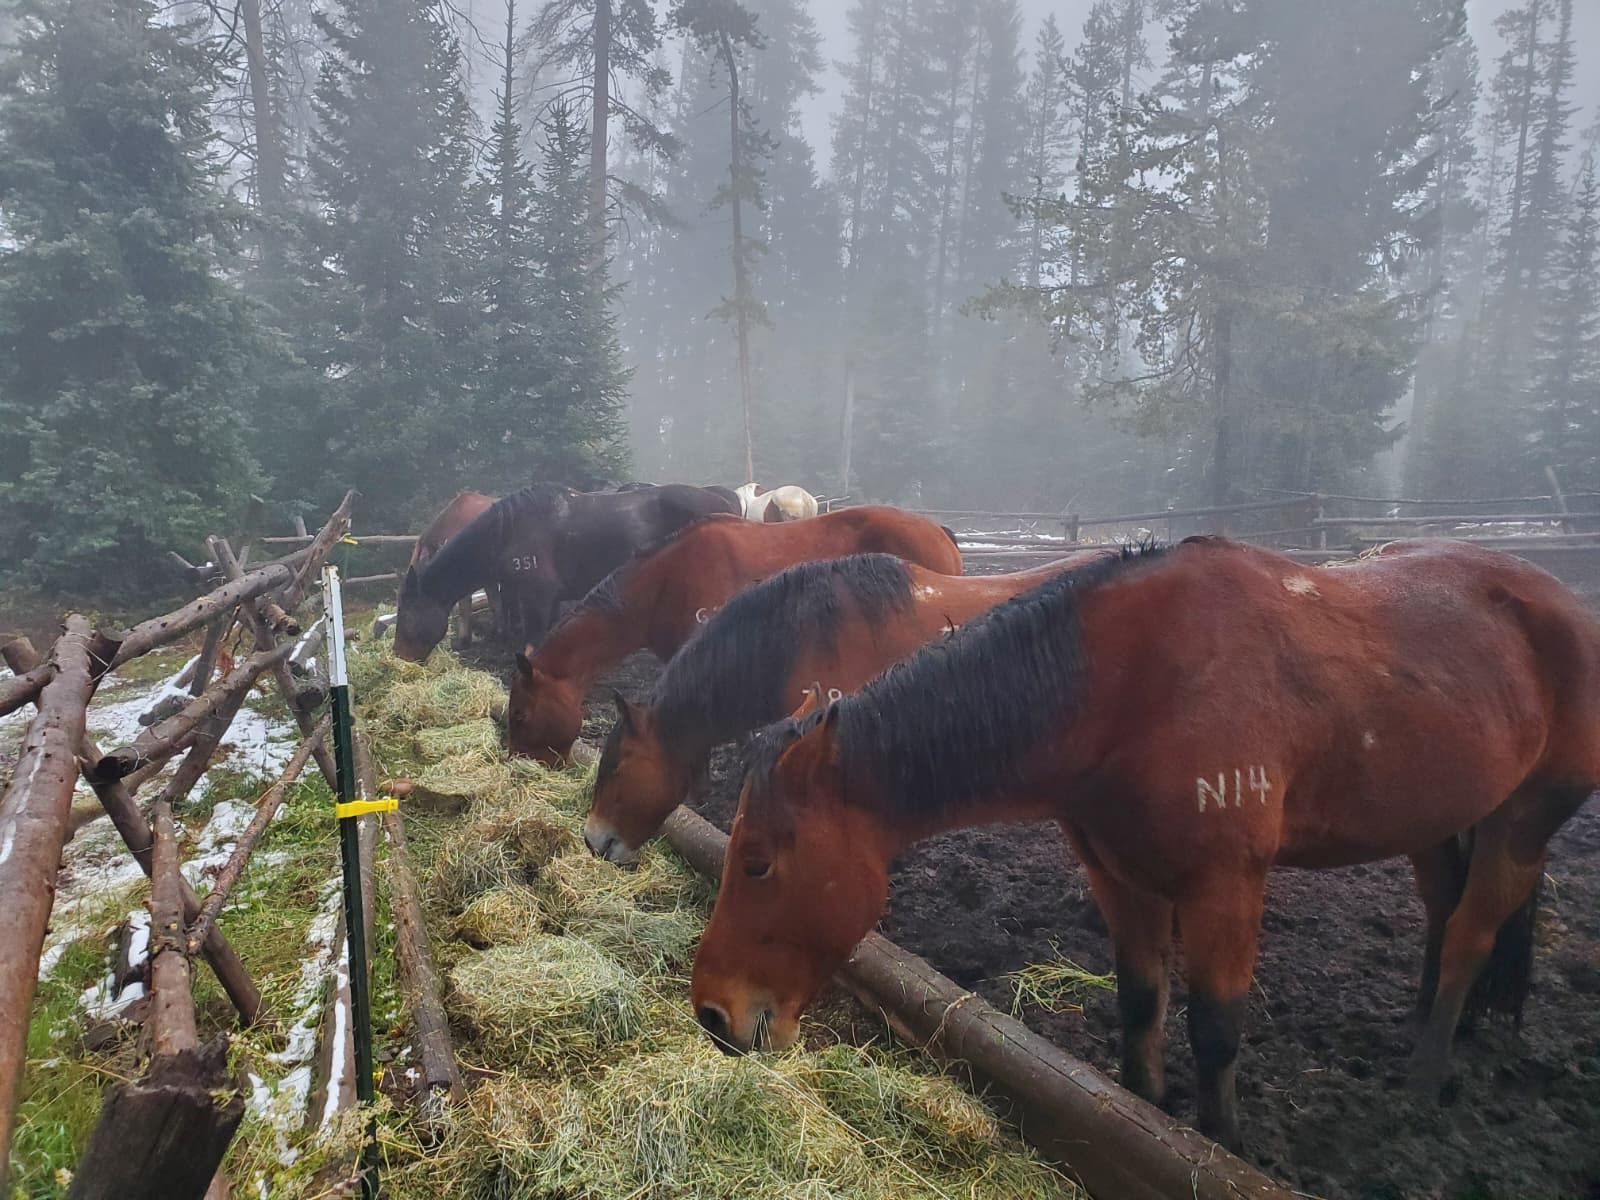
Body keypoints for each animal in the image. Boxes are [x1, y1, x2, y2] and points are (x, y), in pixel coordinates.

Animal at [690, 538, 1600, 1153]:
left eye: (759, 861)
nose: (712, 1014)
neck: (1128, 685)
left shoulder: (1226, 888)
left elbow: (1217, 1030)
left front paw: (1222, 1142)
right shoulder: (1118, 876)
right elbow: (1139, 1008)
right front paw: (1146, 1107)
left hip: (1524, 819)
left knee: (1473, 932)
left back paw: (1425, 1073)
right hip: (1439, 816)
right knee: (1446, 910)